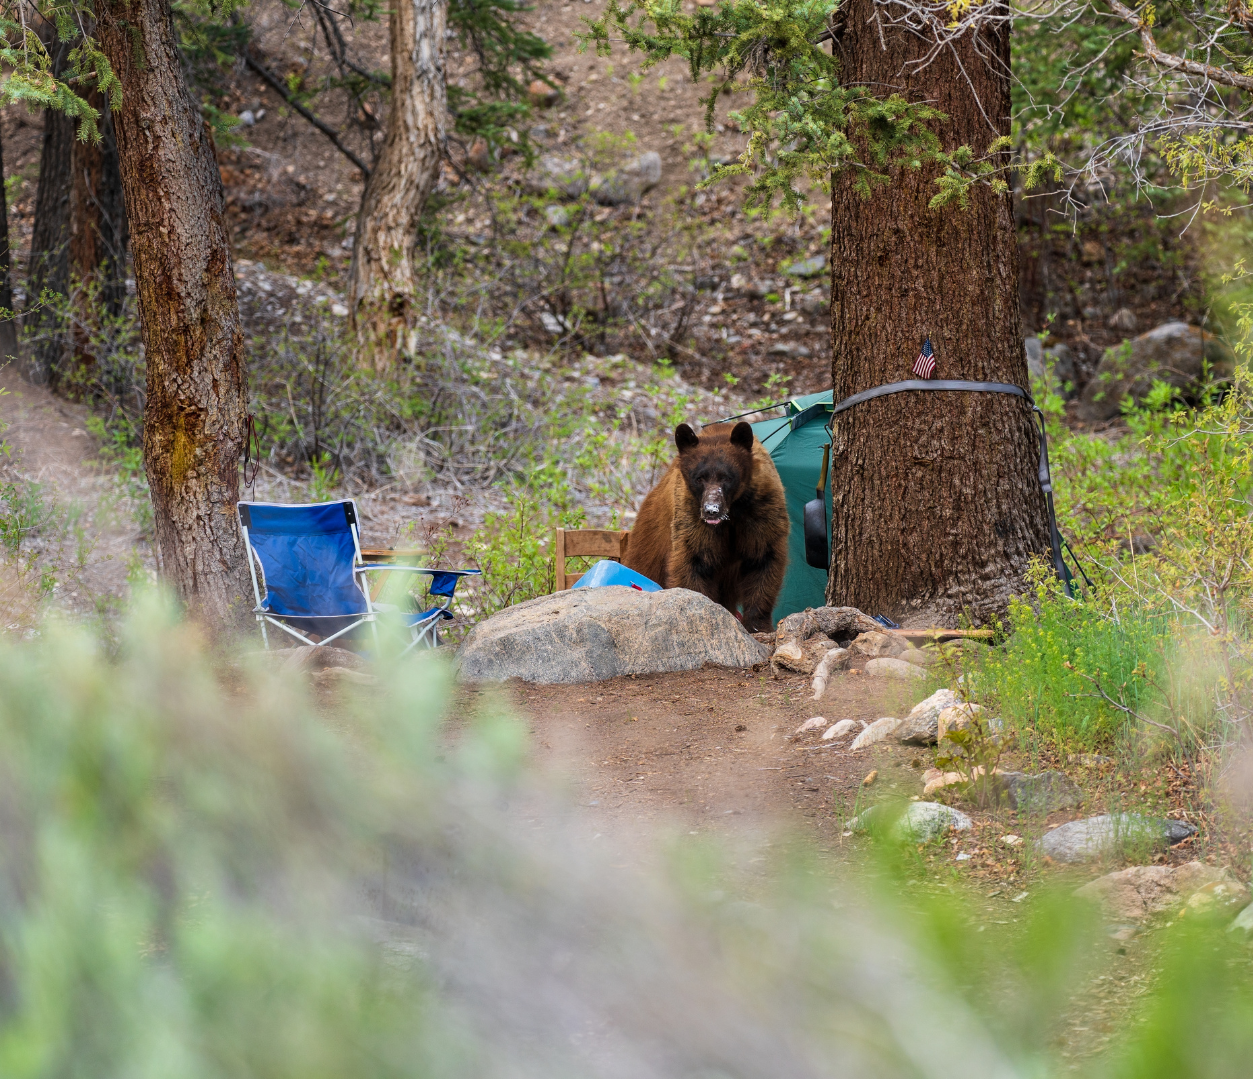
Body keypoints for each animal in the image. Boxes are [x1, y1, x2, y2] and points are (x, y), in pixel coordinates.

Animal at [624, 420, 789, 632]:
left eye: (727, 477)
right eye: (699, 477)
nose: (712, 510)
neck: (732, 513)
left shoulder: (760, 510)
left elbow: (762, 558)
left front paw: (757, 625)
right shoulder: (692, 515)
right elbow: (695, 561)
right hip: (650, 541)